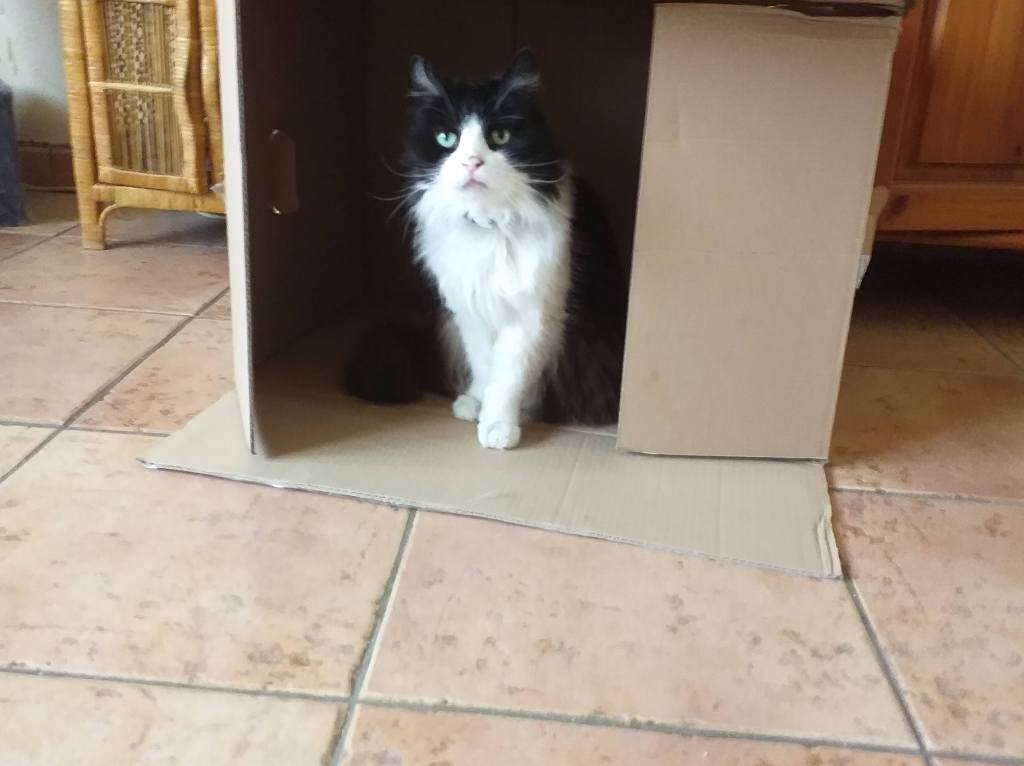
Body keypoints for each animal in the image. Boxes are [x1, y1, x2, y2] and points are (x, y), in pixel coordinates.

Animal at [345, 49, 628, 449]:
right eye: (447, 138)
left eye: (500, 136)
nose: (472, 162)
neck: (489, 226)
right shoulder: (468, 312)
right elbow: (484, 364)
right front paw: (475, 404)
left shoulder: (532, 318)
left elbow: (507, 376)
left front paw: (497, 427)